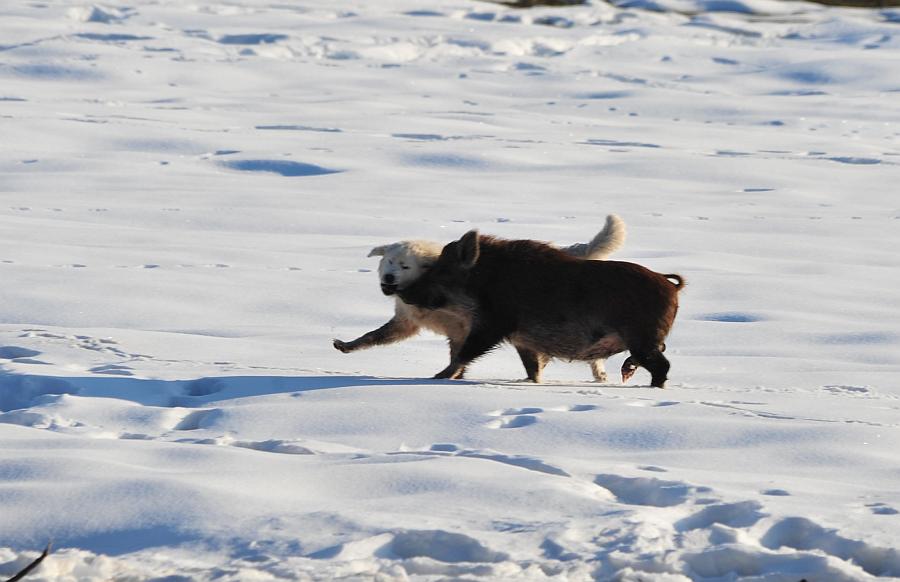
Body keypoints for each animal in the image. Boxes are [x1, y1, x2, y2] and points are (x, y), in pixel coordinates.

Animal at [336, 214, 624, 384]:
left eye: (405, 266)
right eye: (389, 261)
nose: (389, 278)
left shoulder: (472, 329)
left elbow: (459, 356)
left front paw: (451, 376)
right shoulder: (407, 324)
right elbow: (372, 336)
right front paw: (347, 345)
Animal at [398, 232, 684, 388]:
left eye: (442, 271)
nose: (403, 292)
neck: (486, 280)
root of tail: (672, 287)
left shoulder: (494, 324)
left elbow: (464, 353)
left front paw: (436, 378)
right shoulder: (521, 339)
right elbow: (532, 368)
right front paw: (532, 383)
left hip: (643, 338)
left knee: (663, 366)